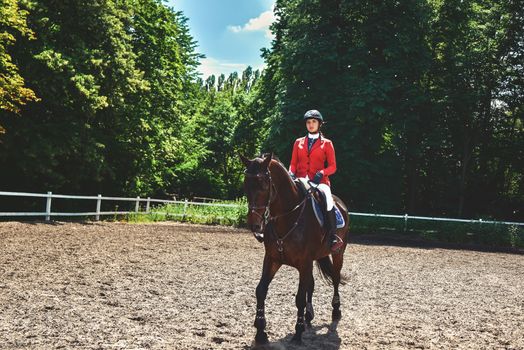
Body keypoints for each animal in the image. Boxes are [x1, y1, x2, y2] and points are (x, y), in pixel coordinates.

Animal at [241, 152, 348, 344]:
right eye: (246, 184)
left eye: (263, 184)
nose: (254, 225)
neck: (287, 217)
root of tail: (340, 203)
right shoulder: (272, 259)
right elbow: (261, 290)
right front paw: (260, 331)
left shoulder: (304, 263)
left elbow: (299, 298)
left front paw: (298, 333)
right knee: (311, 284)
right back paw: (308, 315)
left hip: (338, 253)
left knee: (335, 279)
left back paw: (336, 311)